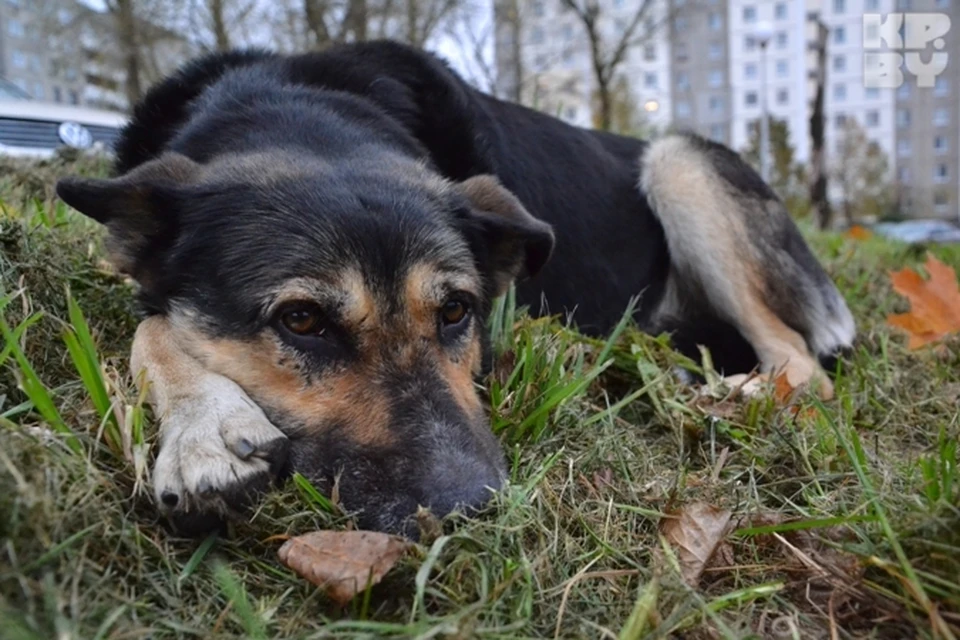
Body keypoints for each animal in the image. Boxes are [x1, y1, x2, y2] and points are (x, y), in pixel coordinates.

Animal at [56, 40, 856, 536]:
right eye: (303, 321)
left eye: (455, 311)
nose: (469, 510)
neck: (301, 105)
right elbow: (153, 323)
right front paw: (208, 427)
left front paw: (206, 429)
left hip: (679, 162)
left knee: (802, 358)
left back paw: (734, 392)